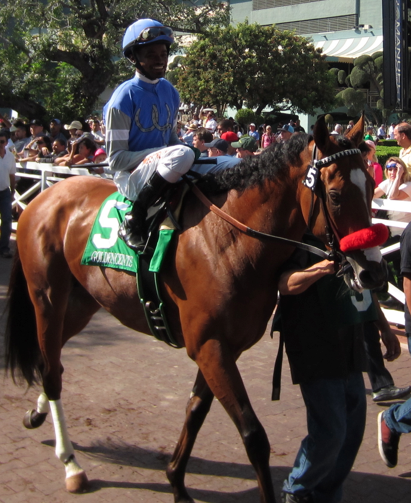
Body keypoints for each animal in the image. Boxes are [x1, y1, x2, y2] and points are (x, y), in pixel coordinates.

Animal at [4, 116, 388, 502]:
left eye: (371, 186)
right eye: (335, 195)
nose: (372, 271)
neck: (230, 240)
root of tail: (45, 196)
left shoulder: (222, 348)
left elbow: (195, 411)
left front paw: (176, 480)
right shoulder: (209, 346)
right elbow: (253, 436)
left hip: (83, 302)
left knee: (50, 361)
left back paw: (36, 415)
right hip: (48, 298)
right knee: (51, 370)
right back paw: (71, 464)